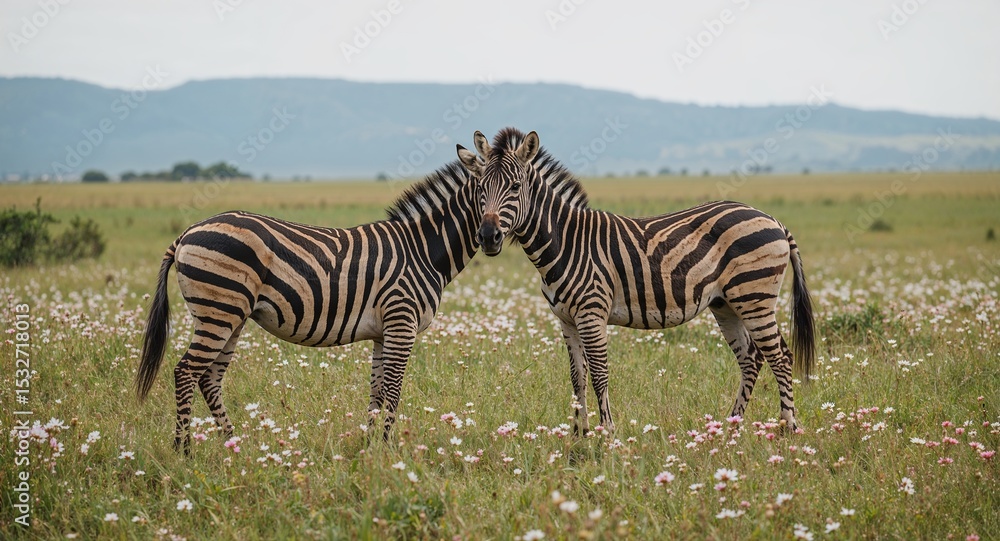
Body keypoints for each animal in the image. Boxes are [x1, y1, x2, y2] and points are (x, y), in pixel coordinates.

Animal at [136, 161, 482, 452]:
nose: (491, 238)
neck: (421, 250)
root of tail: (185, 234)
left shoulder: (383, 331)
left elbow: (378, 391)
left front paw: (369, 449)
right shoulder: (401, 322)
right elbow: (392, 390)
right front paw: (386, 452)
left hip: (229, 317)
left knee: (209, 378)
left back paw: (234, 446)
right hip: (218, 311)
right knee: (185, 372)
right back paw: (184, 451)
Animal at [456, 128, 815, 435]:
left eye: (515, 187)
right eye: (479, 188)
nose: (487, 237)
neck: (565, 241)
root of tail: (774, 219)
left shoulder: (592, 313)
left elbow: (599, 374)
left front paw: (607, 435)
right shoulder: (566, 319)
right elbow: (577, 377)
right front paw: (578, 435)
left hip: (754, 297)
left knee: (780, 357)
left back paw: (787, 429)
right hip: (725, 303)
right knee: (751, 359)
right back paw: (731, 427)